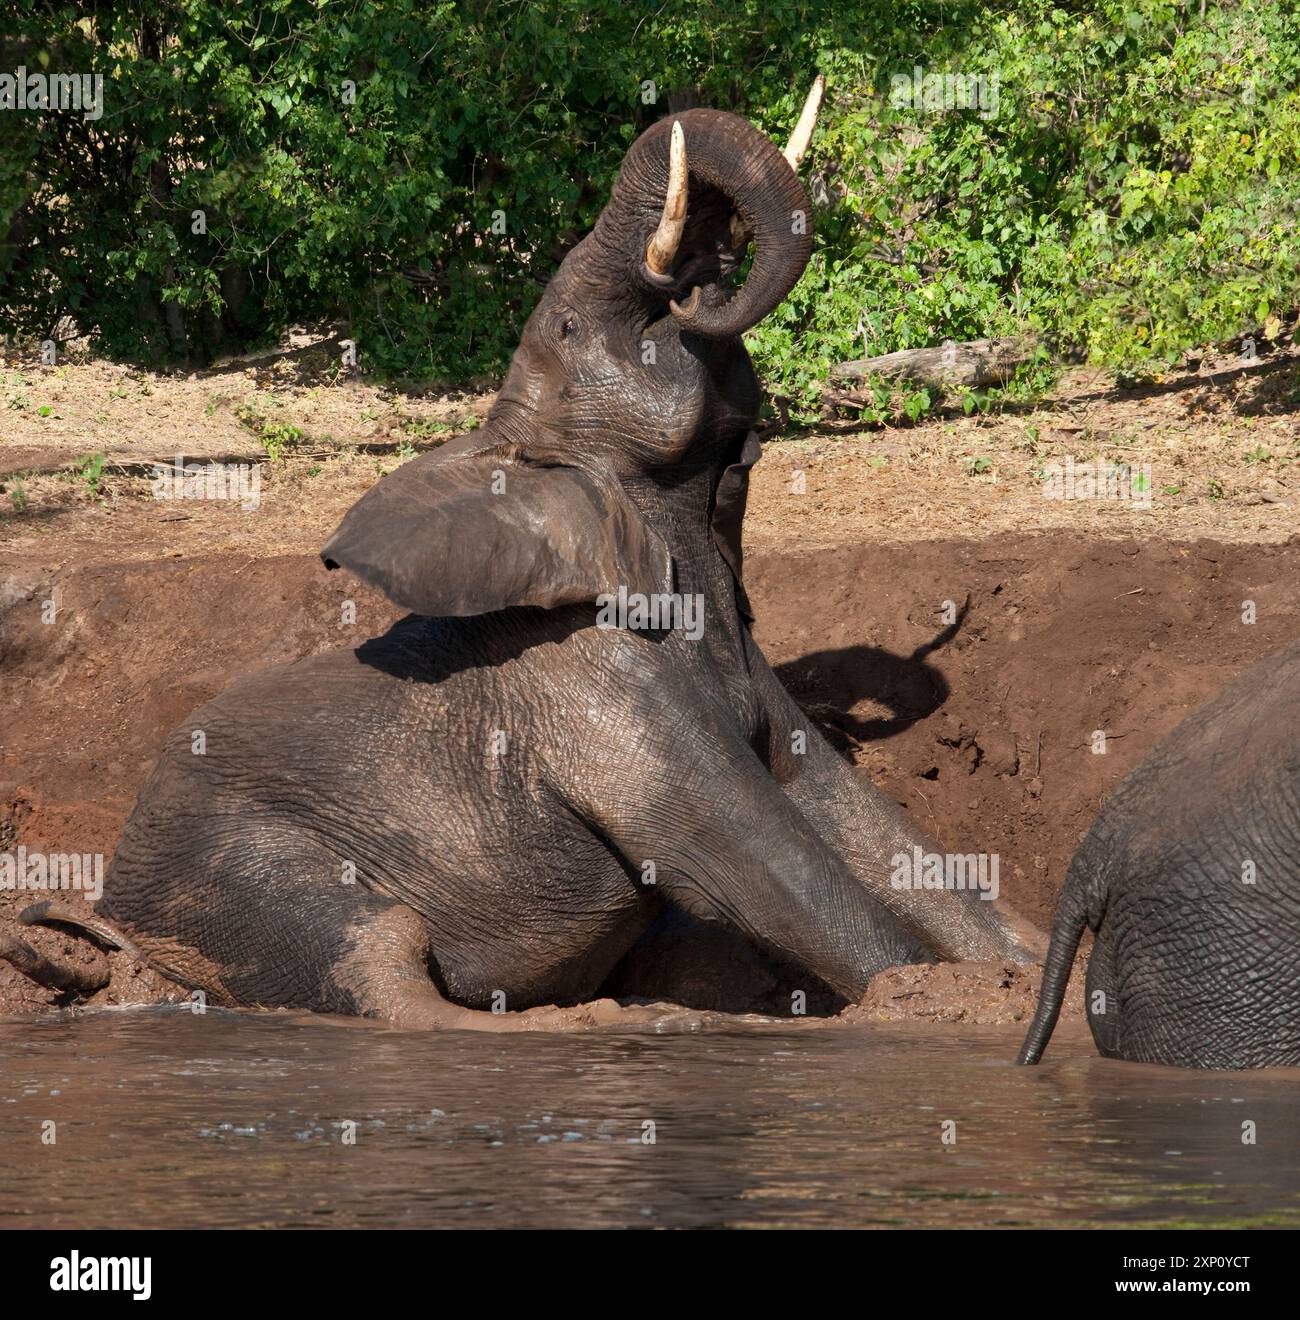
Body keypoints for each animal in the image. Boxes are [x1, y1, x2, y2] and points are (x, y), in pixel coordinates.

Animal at [2, 87, 1034, 1024]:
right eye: (572, 330)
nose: (701, 271)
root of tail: (121, 925)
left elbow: (870, 830)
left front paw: (1020, 968)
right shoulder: (595, 693)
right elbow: (764, 872)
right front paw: (952, 1005)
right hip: (230, 873)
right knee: (382, 956)